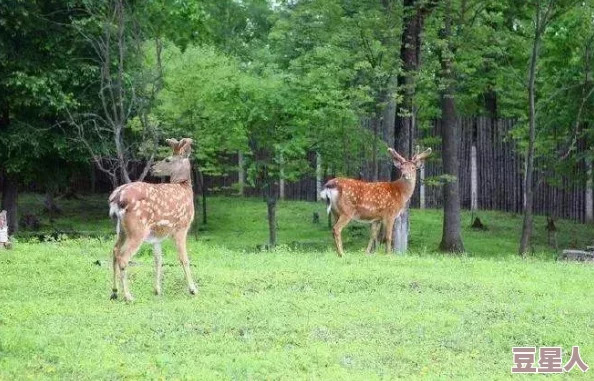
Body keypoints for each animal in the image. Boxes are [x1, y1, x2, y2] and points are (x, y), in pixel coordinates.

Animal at [107, 137, 198, 300]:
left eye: (167, 159)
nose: (153, 168)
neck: (185, 189)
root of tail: (116, 197)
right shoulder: (181, 226)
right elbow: (184, 259)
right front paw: (193, 289)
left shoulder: (157, 235)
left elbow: (158, 259)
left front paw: (157, 290)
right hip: (137, 229)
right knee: (123, 257)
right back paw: (128, 296)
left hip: (121, 229)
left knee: (114, 250)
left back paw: (115, 292)